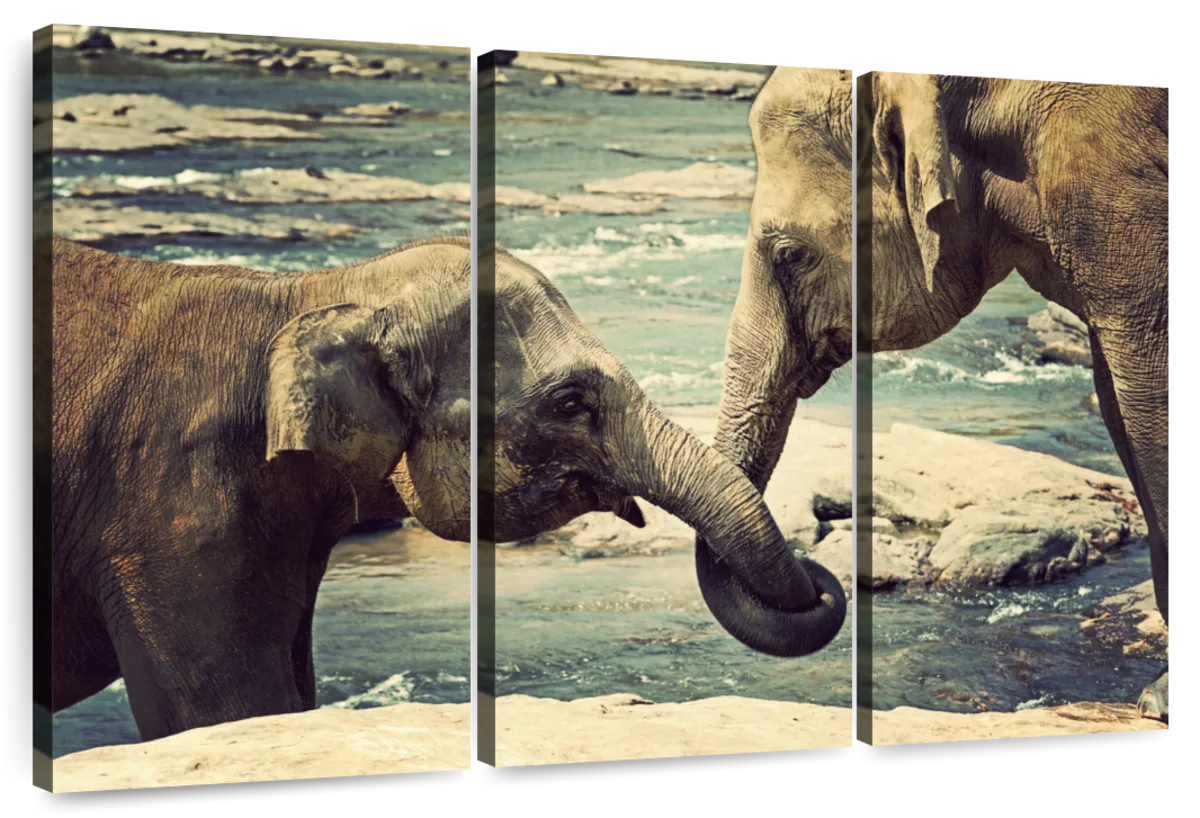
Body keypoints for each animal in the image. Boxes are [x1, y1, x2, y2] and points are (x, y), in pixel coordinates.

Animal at [705, 65, 1171, 720]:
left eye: (791, 254)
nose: (819, 576)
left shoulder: (1117, 179)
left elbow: (1152, 386)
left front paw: (1165, 697)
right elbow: (1119, 403)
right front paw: (1159, 695)